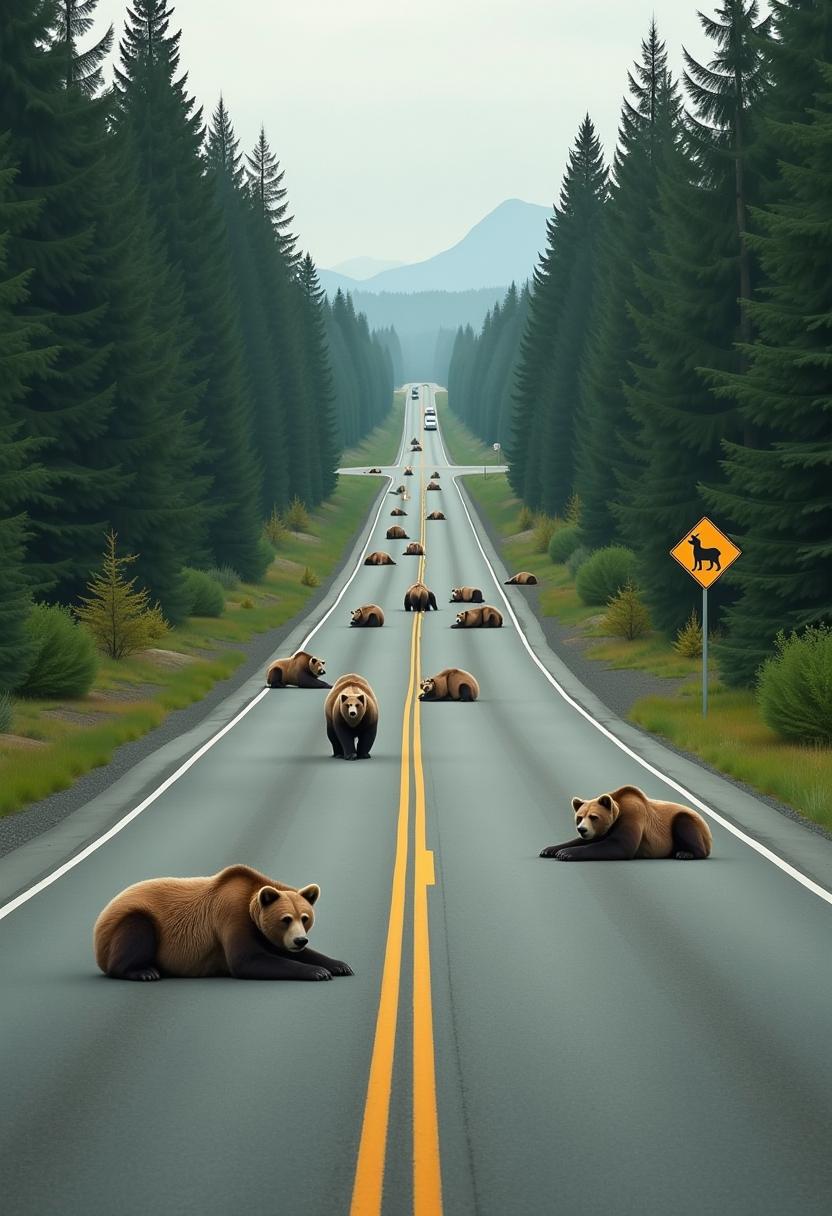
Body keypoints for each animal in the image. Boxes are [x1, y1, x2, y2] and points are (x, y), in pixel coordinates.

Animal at [93, 864, 353, 981]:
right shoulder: (230, 916)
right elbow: (247, 959)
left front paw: (338, 965)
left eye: (305, 918)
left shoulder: (264, 933)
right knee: (137, 930)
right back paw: (144, 971)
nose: (300, 940)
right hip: (131, 921)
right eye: (285, 919)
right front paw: (317, 972)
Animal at [539, 785, 713, 862]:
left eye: (594, 817)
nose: (582, 829)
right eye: (580, 817)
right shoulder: (603, 830)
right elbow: (582, 841)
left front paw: (566, 853)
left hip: (686, 822)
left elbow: (620, 845)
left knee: (684, 823)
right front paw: (550, 849)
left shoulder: (633, 816)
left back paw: (685, 853)